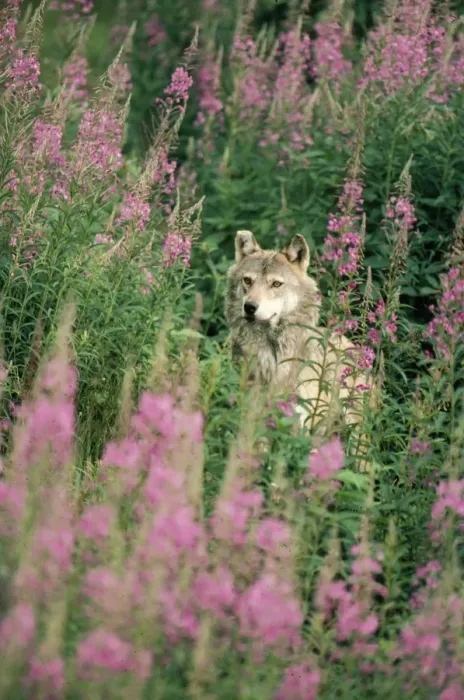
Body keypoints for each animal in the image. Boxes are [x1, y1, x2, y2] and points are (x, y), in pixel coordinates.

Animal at [225, 230, 373, 444]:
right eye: (247, 281)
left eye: (276, 284)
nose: (250, 307)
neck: (273, 355)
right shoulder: (253, 417)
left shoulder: (298, 424)